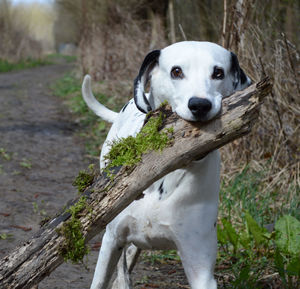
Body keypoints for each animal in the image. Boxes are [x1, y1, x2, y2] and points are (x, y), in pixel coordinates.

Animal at [81, 41, 251, 288]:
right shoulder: (111, 240)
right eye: (176, 71)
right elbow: (101, 279)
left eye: (218, 72)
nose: (200, 105)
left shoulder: (200, 265)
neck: (164, 172)